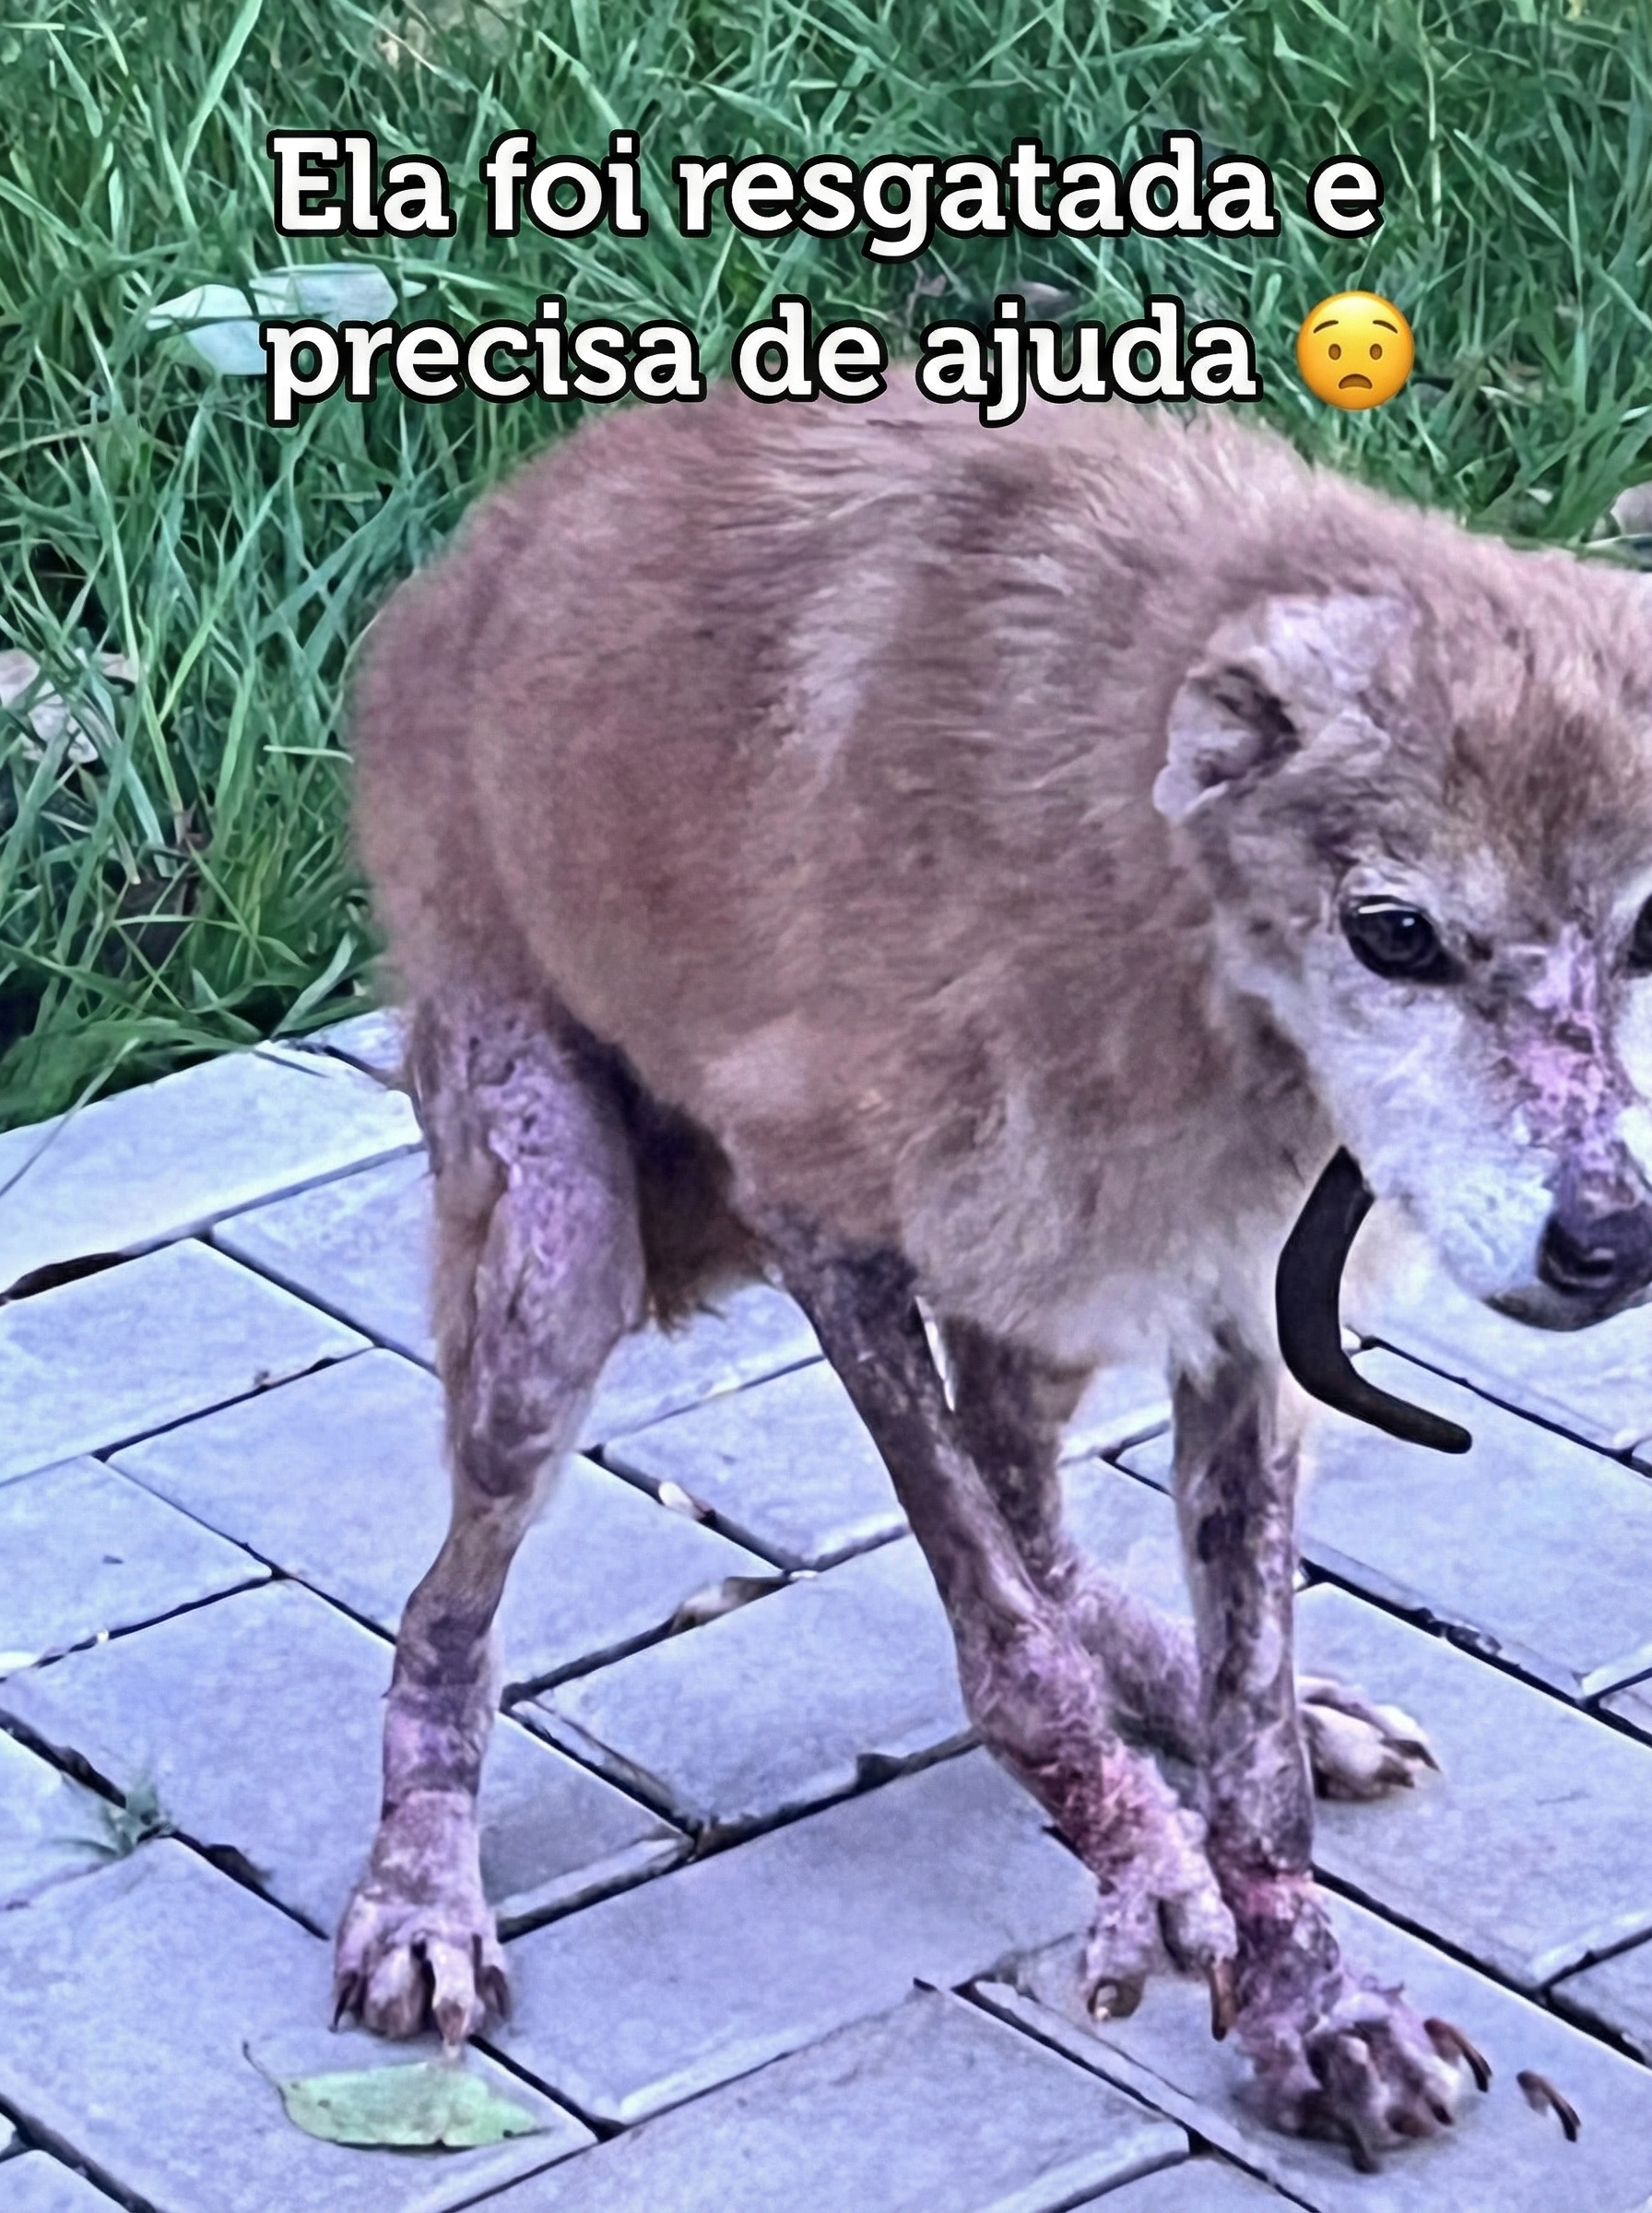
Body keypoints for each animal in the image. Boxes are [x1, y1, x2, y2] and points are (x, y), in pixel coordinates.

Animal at [335, 366, 1652, 2167]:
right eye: (1394, 932)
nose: (1612, 1242)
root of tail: (454, 575)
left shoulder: (1238, 1312)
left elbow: (1246, 1737)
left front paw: (1310, 2004)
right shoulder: (822, 1222)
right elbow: (1010, 1650)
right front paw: (1157, 1872)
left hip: (1036, 1300)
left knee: (1043, 1522)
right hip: (563, 1248)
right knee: (441, 1609)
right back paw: (420, 1889)